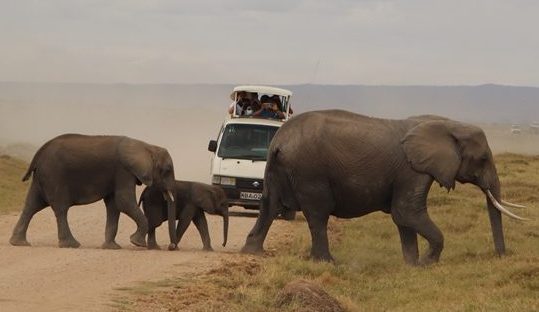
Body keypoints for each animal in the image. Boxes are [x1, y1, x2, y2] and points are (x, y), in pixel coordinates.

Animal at [9, 133, 179, 249]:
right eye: (167, 170)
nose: (171, 247)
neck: (147, 147)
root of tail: (39, 153)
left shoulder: (117, 174)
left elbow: (114, 205)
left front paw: (112, 248)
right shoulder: (123, 171)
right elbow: (123, 202)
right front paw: (137, 243)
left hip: (42, 177)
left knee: (31, 206)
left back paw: (19, 243)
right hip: (54, 175)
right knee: (60, 209)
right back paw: (71, 245)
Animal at [243, 111, 528, 264]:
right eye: (483, 159)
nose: (500, 256)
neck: (448, 124)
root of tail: (279, 141)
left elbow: (403, 218)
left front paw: (412, 265)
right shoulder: (412, 171)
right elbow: (406, 212)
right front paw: (427, 263)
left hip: (278, 169)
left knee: (269, 206)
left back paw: (253, 252)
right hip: (309, 172)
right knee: (318, 215)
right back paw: (328, 262)